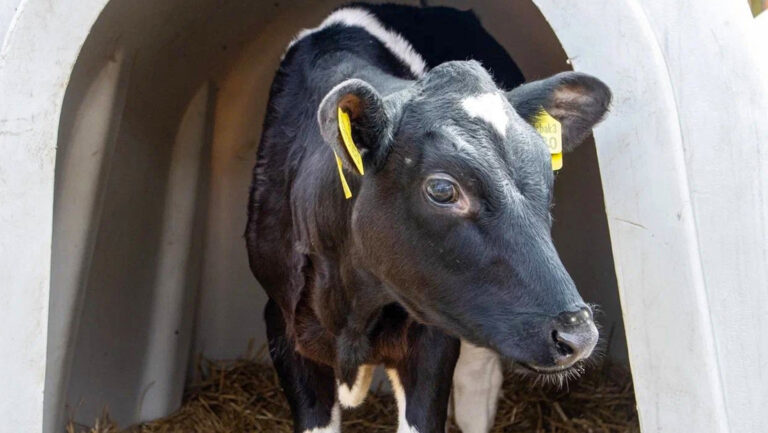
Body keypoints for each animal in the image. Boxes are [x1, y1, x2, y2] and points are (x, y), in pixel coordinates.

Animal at [245, 4, 611, 433]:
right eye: (441, 189)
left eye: (547, 174)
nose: (577, 334)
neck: (353, 307)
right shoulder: (282, 325)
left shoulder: (432, 342)